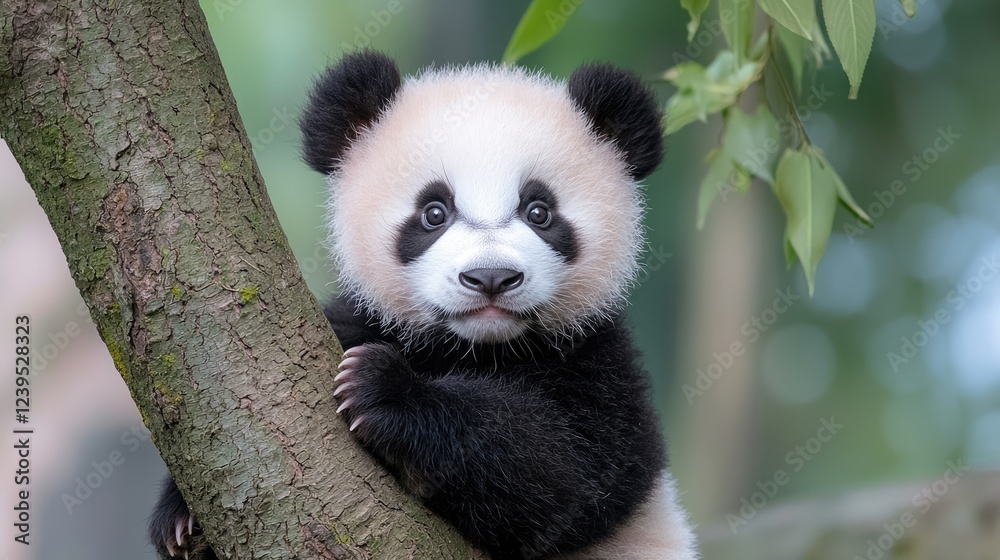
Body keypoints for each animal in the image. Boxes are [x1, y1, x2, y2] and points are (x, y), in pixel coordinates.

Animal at [149, 51, 698, 560]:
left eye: (539, 211)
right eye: (434, 212)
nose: (491, 278)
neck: (476, 347)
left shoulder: (599, 367)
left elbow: (562, 475)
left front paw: (386, 389)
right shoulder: (362, 318)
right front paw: (182, 518)